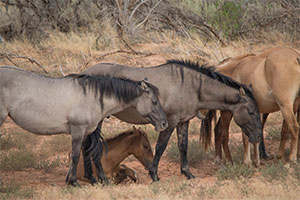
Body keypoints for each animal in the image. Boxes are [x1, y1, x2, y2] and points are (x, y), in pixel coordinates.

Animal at [0, 66, 168, 186]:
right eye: (154, 101)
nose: (164, 123)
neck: (91, 96)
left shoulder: (87, 131)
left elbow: (88, 153)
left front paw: (94, 179)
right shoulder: (78, 130)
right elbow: (76, 155)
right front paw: (74, 182)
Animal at [81, 59, 262, 183]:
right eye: (251, 111)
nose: (259, 137)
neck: (191, 86)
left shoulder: (183, 122)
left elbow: (183, 146)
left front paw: (187, 173)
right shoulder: (170, 122)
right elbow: (161, 146)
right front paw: (154, 175)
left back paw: (90, 177)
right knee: (93, 145)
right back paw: (101, 177)